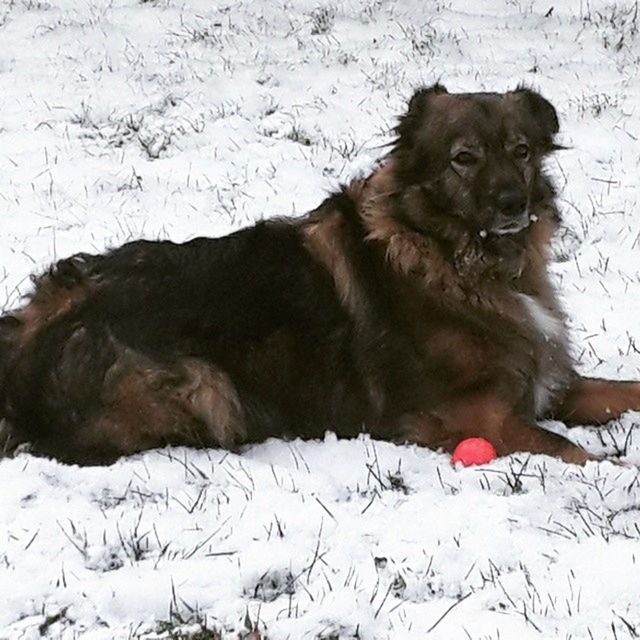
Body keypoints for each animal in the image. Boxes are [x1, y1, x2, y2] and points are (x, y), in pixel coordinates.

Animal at [1, 85, 640, 464]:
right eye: (464, 158)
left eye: (522, 150)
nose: (514, 205)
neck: (455, 260)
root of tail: (30, 330)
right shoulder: (479, 419)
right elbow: (575, 453)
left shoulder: (549, 383)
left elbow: (624, 390)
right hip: (207, 387)